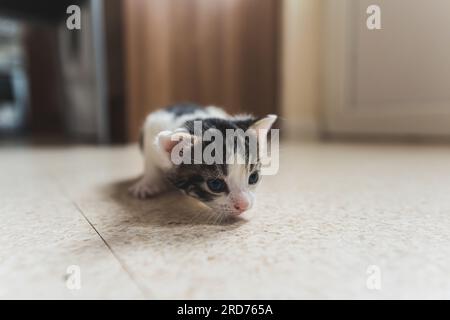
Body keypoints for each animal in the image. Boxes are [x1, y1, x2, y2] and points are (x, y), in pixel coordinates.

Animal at [130, 104, 276, 216]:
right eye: (215, 184)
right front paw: (147, 183)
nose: (244, 205)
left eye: (253, 177)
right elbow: (150, 162)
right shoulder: (152, 127)